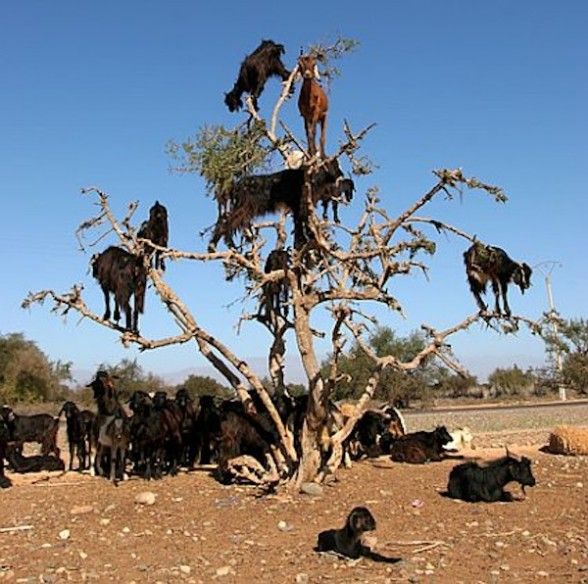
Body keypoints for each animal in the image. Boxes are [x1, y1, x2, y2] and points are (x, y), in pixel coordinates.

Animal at [208, 160, 352, 251]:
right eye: (336, 166)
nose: (342, 174)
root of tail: (236, 185)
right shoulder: (299, 204)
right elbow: (301, 222)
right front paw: (305, 239)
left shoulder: (299, 206)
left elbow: (301, 222)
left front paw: (304, 240)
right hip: (245, 206)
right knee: (227, 220)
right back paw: (217, 245)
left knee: (228, 219)